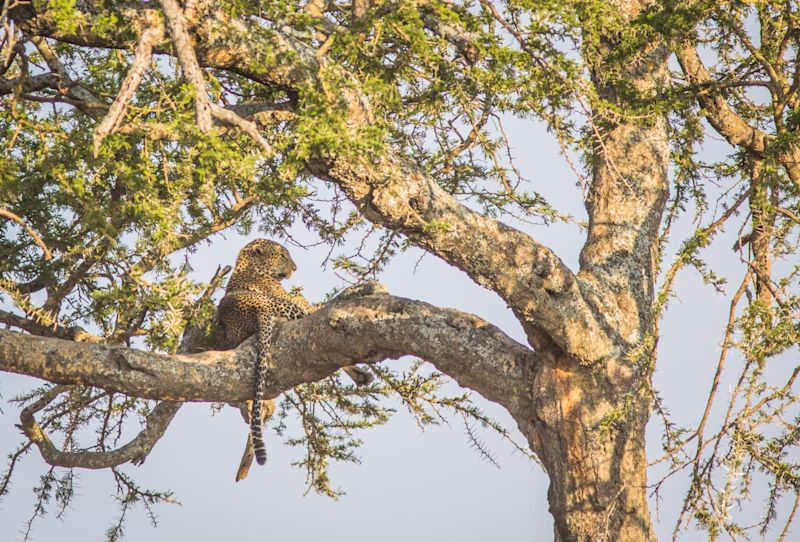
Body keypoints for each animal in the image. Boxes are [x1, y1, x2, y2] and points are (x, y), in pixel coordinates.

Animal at [216, 240, 372, 482]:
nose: (295, 268)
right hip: (292, 310)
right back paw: (361, 373)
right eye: (282, 255)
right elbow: (313, 307)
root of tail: (253, 312)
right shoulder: (295, 302)